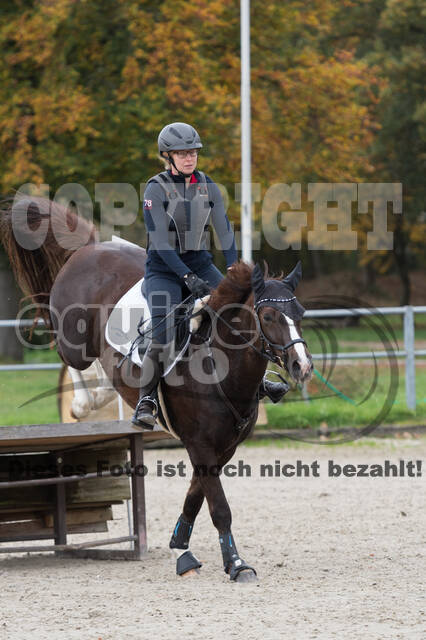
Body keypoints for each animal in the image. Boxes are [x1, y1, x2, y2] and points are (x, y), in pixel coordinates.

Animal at [0, 194, 312, 580]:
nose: (303, 366)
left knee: (108, 372)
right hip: (72, 337)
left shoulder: (224, 448)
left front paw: (181, 548)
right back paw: (83, 404)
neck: (221, 366)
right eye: (268, 317)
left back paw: (107, 398)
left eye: (300, 313)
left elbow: (195, 497)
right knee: (71, 358)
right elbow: (219, 507)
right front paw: (236, 564)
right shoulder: (200, 444)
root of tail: (92, 248)